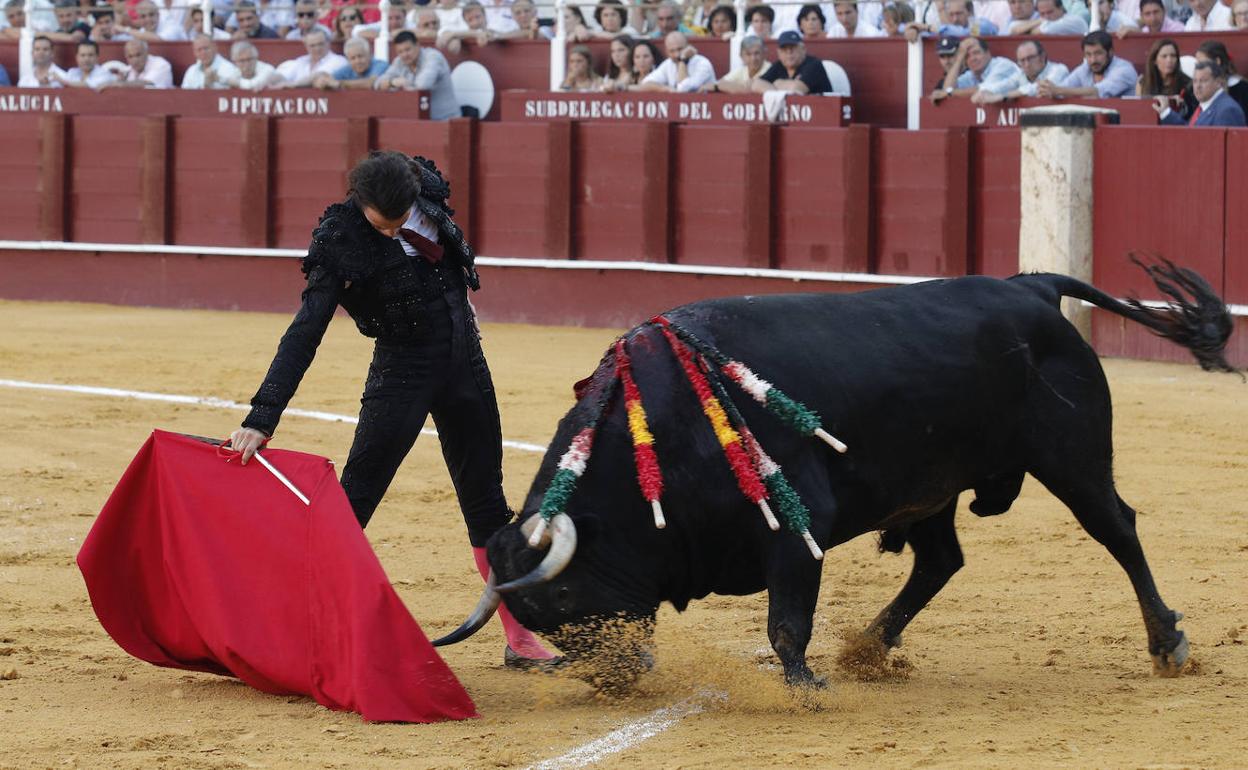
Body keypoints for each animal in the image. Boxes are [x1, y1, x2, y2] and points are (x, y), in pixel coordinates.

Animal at [434, 260, 1233, 688]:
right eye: (543, 621)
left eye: (566, 596)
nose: (613, 682)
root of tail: (1028, 286)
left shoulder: (798, 523)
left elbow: (787, 620)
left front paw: (804, 684)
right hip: (931, 488)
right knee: (941, 559)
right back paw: (871, 645)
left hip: (1073, 457)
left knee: (1116, 528)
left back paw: (1166, 643)